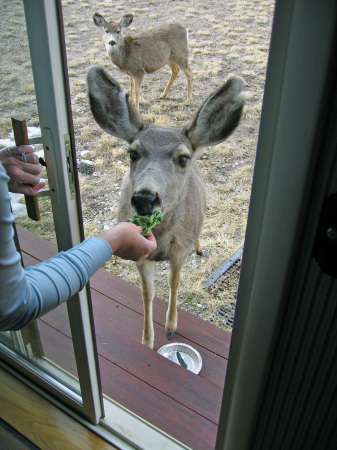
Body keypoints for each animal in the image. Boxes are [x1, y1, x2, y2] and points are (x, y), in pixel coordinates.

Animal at [86, 65, 244, 350]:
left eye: (182, 159)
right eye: (132, 153)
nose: (145, 198)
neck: (160, 242)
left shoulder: (180, 250)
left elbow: (174, 283)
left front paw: (171, 327)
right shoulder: (141, 256)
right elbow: (147, 292)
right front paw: (147, 340)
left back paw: (200, 247)